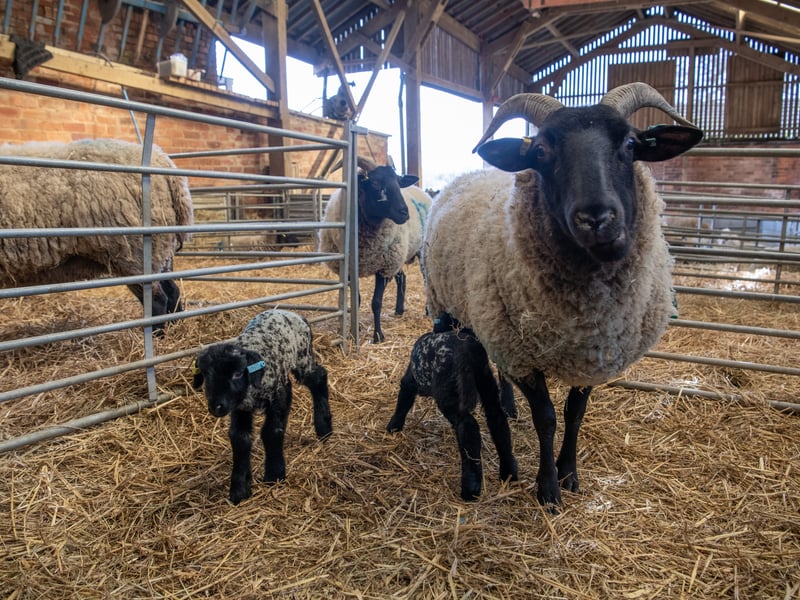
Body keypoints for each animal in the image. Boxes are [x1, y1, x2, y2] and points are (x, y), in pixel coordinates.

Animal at [0, 138, 192, 326]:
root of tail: (163, 162)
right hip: (161, 249)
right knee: (172, 291)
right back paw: (175, 326)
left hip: (134, 254)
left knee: (157, 300)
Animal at [191, 308, 332, 504]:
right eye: (205, 375)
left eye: (237, 374)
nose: (216, 407)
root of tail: (294, 314)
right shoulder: (240, 408)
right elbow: (240, 438)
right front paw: (240, 489)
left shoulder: (278, 394)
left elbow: (271, 431)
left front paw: (274, 475)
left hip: (302, 358)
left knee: (319, 376)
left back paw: (324, 427)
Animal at [318, 156, 432, 343]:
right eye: (376, 183)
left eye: (398, 182)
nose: (405, 213)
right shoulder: (352, 270)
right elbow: (356, 301)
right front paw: (354, 330)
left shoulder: (383, 268)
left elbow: (376, 302)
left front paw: (378, 335)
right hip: (399, 255)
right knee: (402, 277)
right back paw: (399, 310)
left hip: (418, 250)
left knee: (425, 279)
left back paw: (428, 310)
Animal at [386, 315, 518, 501]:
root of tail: (469, 349)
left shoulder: (410, 380)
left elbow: (404, 399)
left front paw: (393, 426)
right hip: (485, 381)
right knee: (497, 418)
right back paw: (509, 472)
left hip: (449, 391)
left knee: (468, 426)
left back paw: (470, 489)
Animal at [421, 83, 703, 507]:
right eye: (540, 151)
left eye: (631, 143)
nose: (596, 218)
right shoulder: (523, 354)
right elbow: (547, 418)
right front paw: (548, 489)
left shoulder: (594, 350)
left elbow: (575, 412)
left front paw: (569, 473)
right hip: (454, 309)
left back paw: (508, 405)